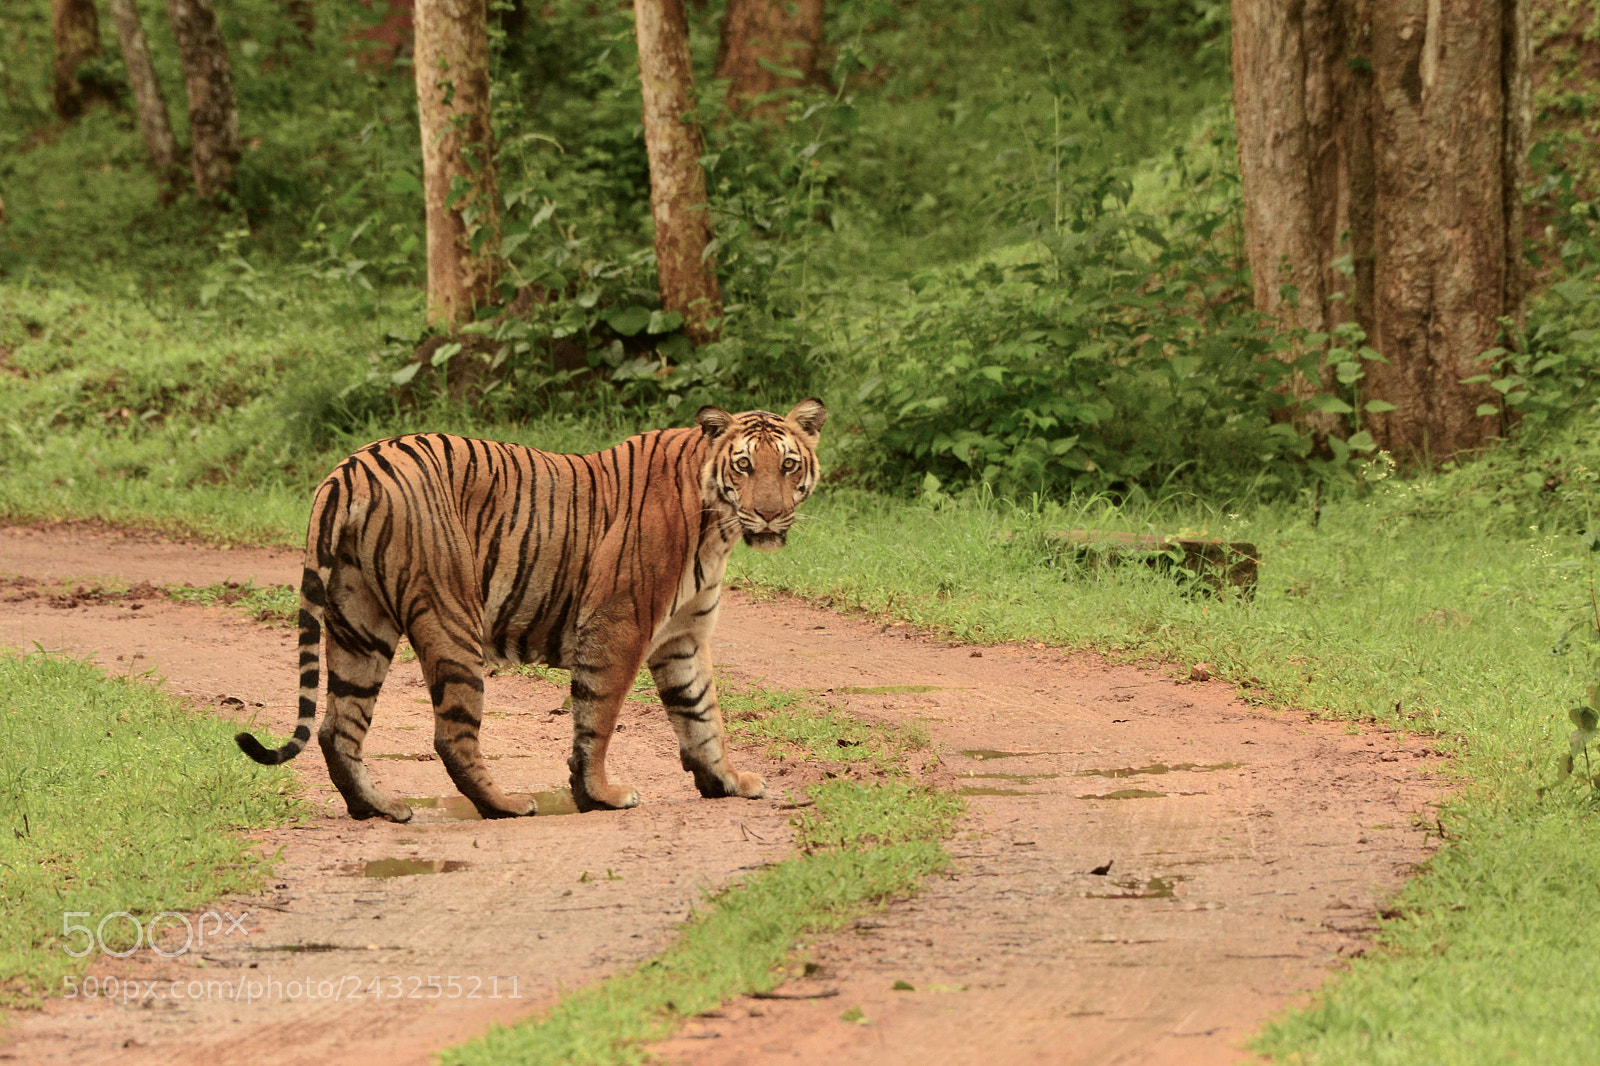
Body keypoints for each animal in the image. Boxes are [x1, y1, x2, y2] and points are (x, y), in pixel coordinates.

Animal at [235, 399, 827, 822]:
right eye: (744, 466)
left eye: (787, 465)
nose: (769, 514)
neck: (717, 528)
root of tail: (353, 466)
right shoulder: (618, 623)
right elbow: (599, 716)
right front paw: (599, 794)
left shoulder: (682, 639)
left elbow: (702, 715)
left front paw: (727, 782)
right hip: (451, 616)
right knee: (451, 735)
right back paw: (505, 805)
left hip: (359, 621)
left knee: (338, 728)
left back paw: (376, 808)